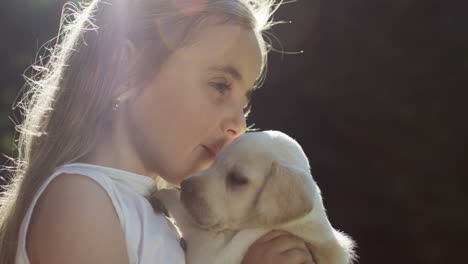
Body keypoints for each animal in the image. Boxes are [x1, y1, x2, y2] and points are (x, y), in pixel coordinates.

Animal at [152, 130, 356, 264]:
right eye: (215, 161)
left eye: (237, 179)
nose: (185, 186)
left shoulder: (212, 253)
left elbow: (184, 216)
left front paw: (162, 193)